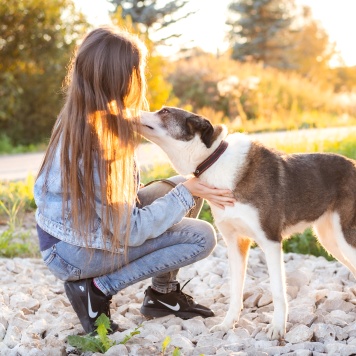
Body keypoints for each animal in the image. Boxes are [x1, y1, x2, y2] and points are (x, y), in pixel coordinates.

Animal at [138, 105, 356, 340]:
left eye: (164, 111)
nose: (134, 111)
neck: (213, 161)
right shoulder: (236, 243)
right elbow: (235, 290)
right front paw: (227, 324)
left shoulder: (271, 241)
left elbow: (277, 290)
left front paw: (277, 327)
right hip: (331, 240)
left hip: (345, 239)